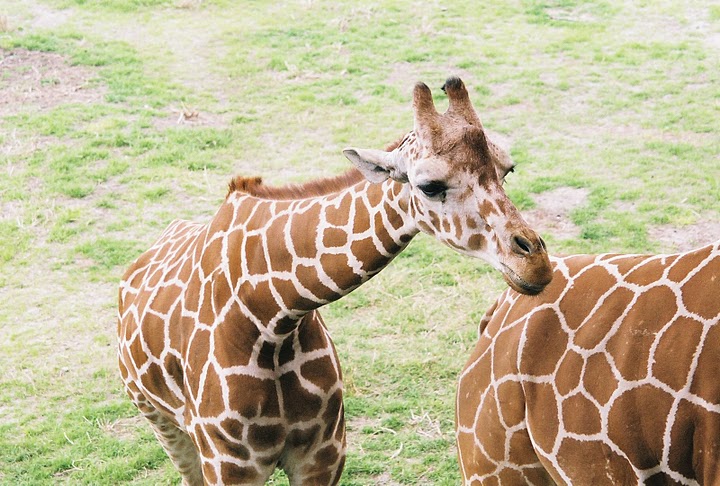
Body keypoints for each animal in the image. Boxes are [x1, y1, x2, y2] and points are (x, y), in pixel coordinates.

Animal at [117, 76, 553, 485]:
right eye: (430, 186)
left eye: (507, 168)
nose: (536, 264)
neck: (272, 315)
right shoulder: (230, 465)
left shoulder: (323, 455)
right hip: (161, 421)